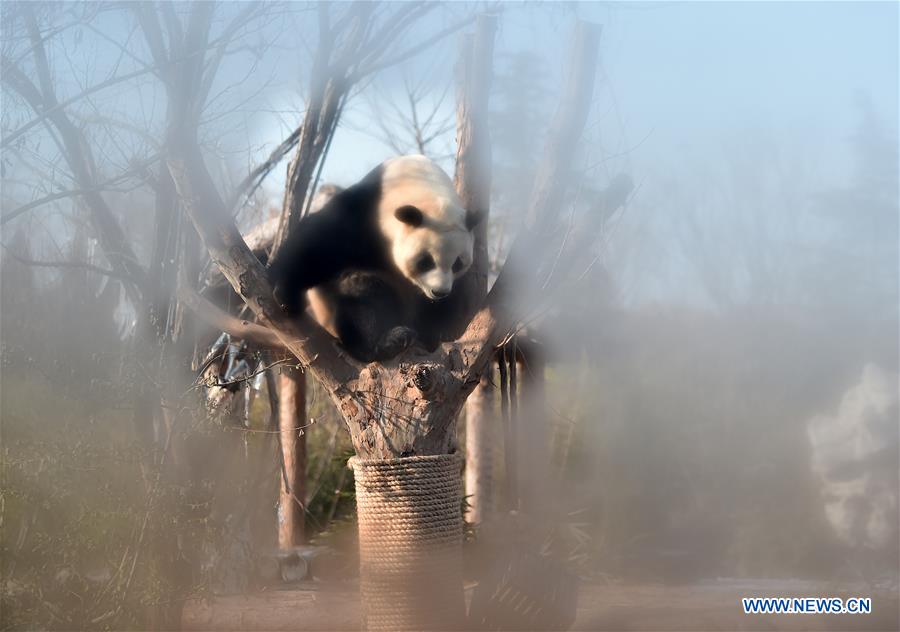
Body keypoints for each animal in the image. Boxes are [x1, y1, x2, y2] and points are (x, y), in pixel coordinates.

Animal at [268, 154, 482, 360]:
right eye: (425, 261)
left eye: (457, 264)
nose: (439, 292)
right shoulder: (365, 211)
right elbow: (319, 244)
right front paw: (286, 294)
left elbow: (455, 298)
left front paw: (442, 331)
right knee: (364, 292)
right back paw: (386, 343)